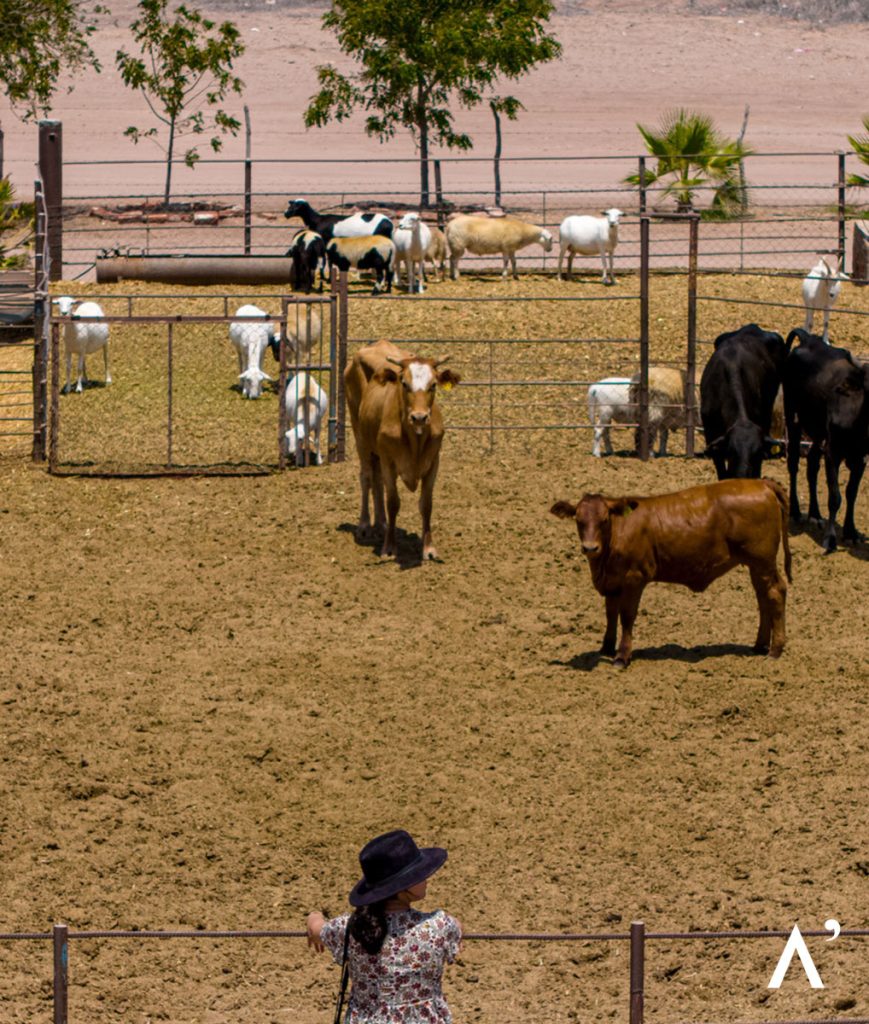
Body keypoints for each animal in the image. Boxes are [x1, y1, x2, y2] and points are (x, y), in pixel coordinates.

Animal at [345, 339, 461, 560]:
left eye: (433, 385)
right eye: (404, 384)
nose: (419, 417)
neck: (415, 438)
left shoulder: (433, 462)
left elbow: (426, 504)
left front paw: (428, 549)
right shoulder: (389, 461)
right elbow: (393, 502)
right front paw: (389, 548)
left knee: (377, 480)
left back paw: (381, 524)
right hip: (360, 436)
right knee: (366, 477)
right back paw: (365, 526)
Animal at [551, 478, 792, 668]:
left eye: (604, 520)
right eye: (579, 520)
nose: (590, 548)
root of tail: (761, 483)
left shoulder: (634, 579)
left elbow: (626, 616)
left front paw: (622, 656)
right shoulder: (612, 583)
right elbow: (610, 614)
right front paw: (606, 648)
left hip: (762, 561)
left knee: (775, 593)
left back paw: (775, 649)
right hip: (756, 565)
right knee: (762, 597)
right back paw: (760, 645)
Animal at [783, 327, 869, 551]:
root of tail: (808, 338)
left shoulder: (861, 458)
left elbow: (851, 493)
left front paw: (850, 532)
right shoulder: (833, 453)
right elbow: (835, 497)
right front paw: (830, 539)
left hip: (818, 432)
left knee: (812, 464)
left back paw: (815, 514)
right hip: (793, 416)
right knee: (793, 462)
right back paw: (796, 511)